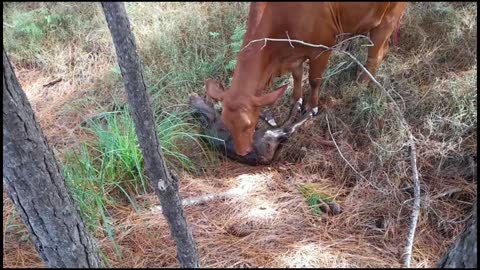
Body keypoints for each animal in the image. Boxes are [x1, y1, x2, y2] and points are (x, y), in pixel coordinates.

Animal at [204, 1, 406, 156]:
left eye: (248, 125)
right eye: (226, 123)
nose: (242, 153)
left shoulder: (321, 49)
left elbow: (314, 80)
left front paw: (312, 107)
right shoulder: (293, 54)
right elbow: (297, 76)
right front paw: (296, 101)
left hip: (388, 20)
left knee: (374, 57)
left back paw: (361, 84)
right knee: (383, 51)